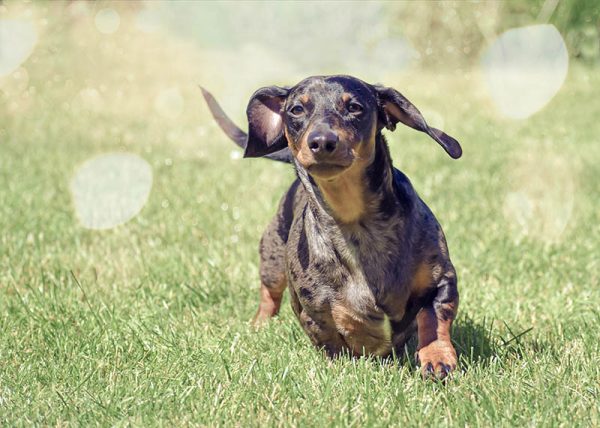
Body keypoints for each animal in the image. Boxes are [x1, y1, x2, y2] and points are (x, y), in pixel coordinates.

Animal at [203, 75, 464, 380]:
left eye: (354, 107)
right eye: (296, 110)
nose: (322, 141)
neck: (355, 220)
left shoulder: (442, 280)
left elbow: (433, 318)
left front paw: (437, 358)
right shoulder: (313, 311)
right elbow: (333, 336)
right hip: (272, 259)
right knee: (269, 295)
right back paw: (260, 325)